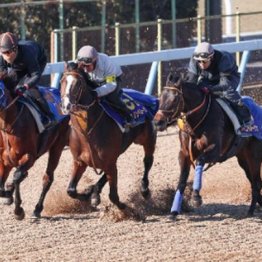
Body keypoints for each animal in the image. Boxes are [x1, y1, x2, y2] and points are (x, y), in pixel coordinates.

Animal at [0, 77, 69, 219]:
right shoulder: (4, 160)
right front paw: (8, 193)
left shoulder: (29, 156)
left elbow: (17, 176)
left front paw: (18, 211)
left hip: (57, 146)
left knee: (47, 178)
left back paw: (37, 209)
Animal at [59, 62, 158, 210]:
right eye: (62, 81)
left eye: (78, 83)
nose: (66, 106)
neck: (87, 134)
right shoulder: (80, 162)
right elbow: (70, 190)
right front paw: (88, 194)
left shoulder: (110, 161)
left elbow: (113, 196)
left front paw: (126, 209)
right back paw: (94, 192)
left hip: (148, 139)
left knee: (147, 161)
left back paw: (144, 189)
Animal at [154, 73, 262, 219]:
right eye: (161, 97)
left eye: (175, 99)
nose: (157, 122)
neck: (196, 122)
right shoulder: (184, 153)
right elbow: (182, 180)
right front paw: (174, 211)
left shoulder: (214, 151)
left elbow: (200, 161)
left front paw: (196, 197)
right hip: (243, 158)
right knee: (254, 181)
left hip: (254, 156)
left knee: (256, 183)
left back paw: (251, 210)